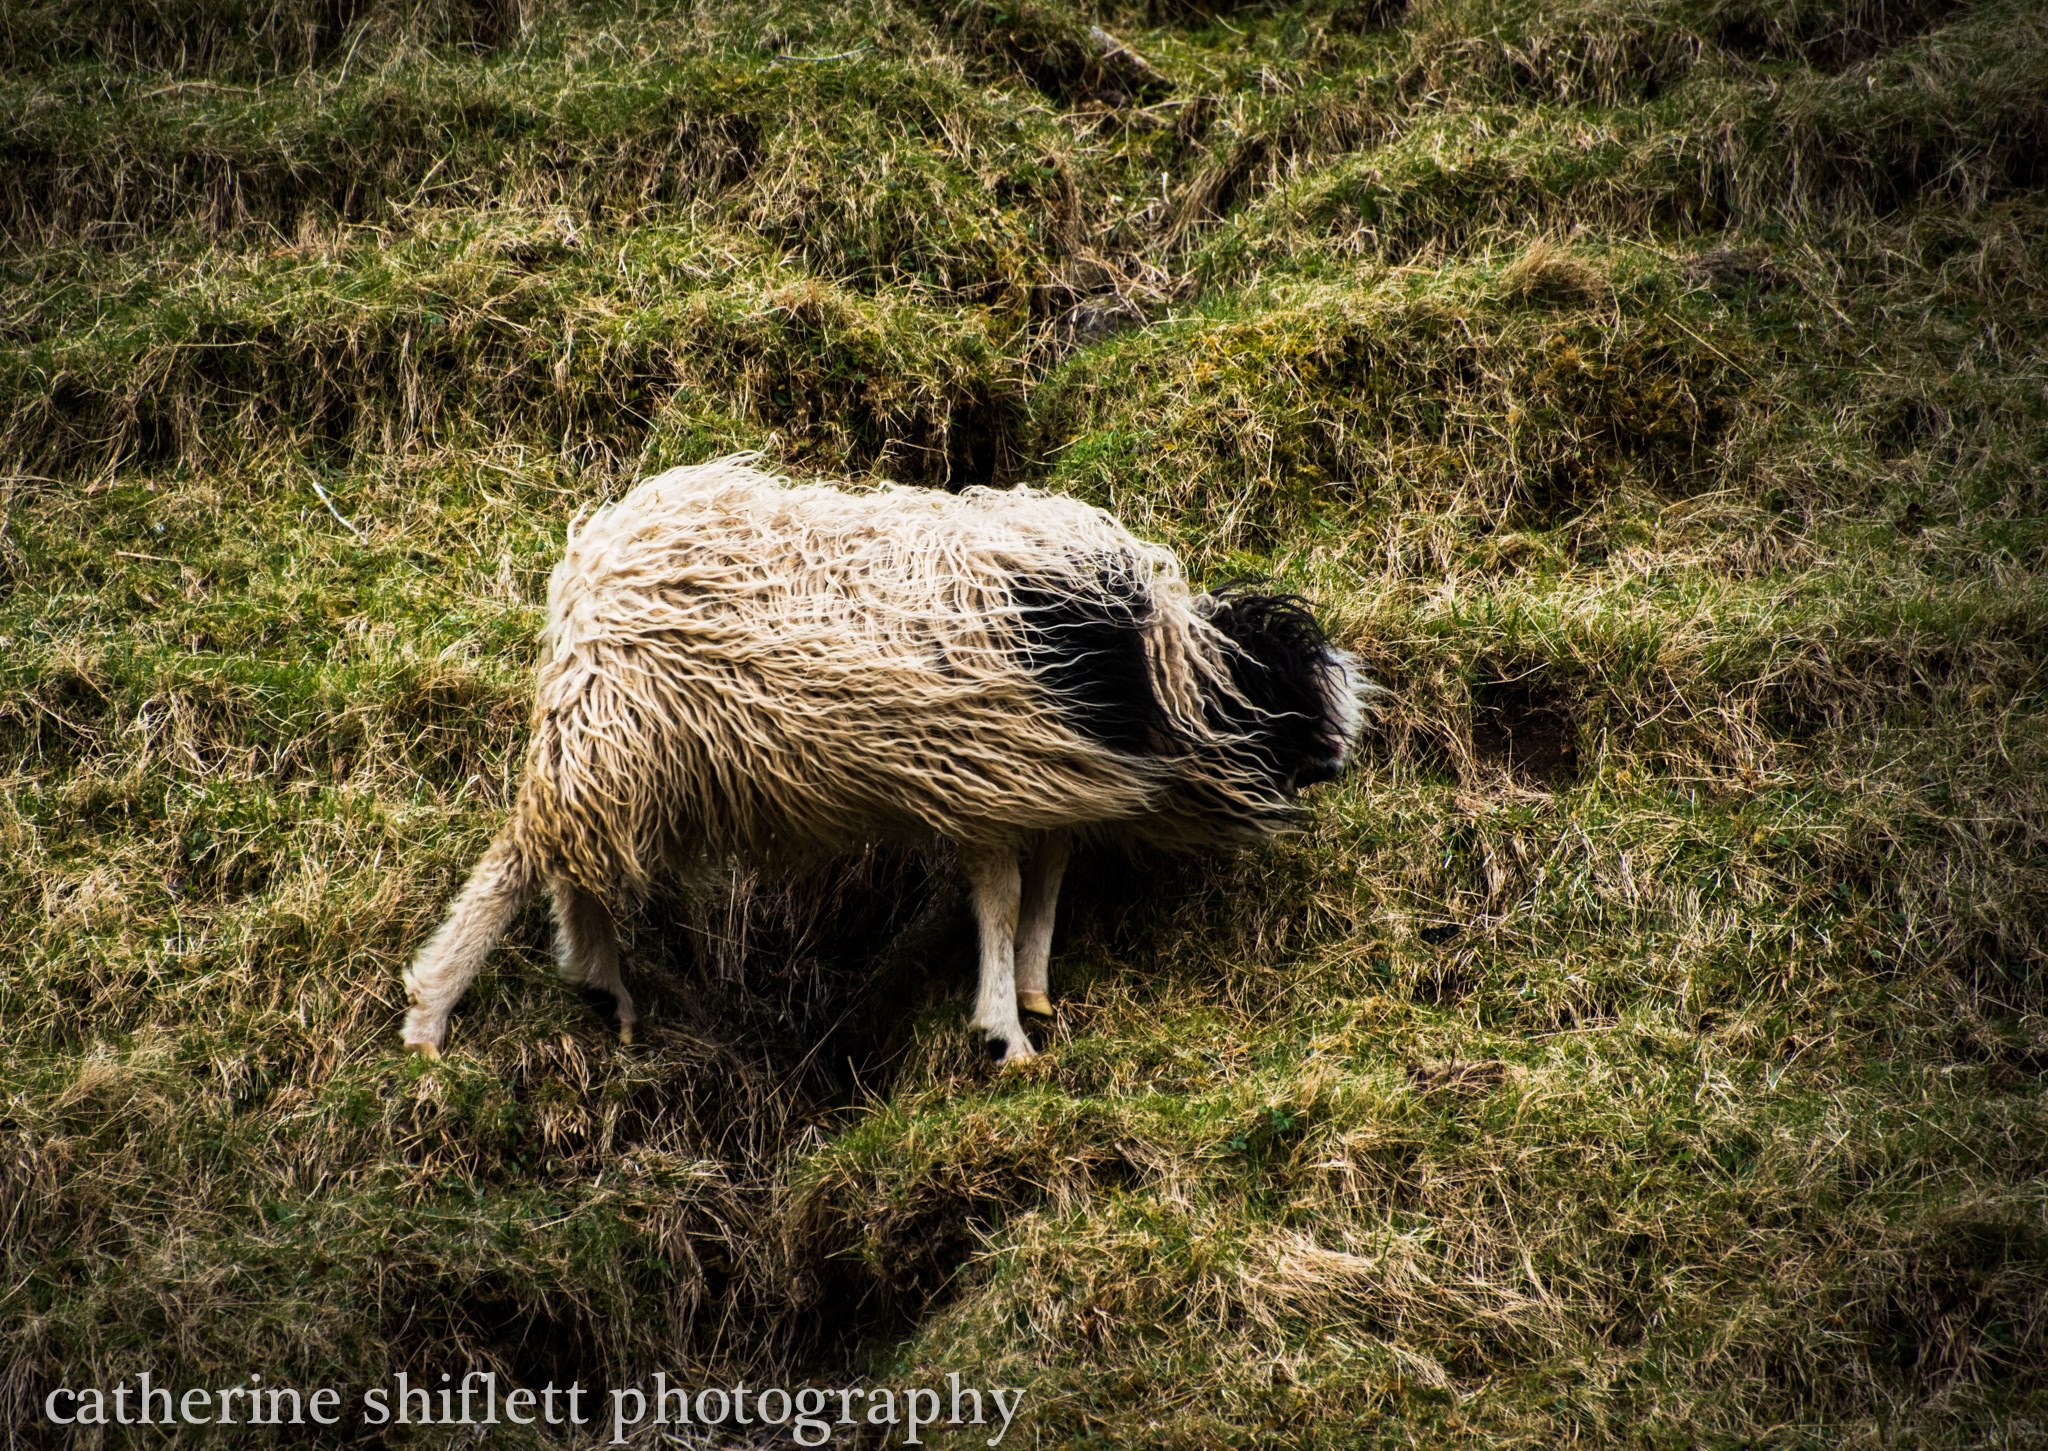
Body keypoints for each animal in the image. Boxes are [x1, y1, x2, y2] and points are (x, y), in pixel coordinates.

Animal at [399, 457, 1368, 1065]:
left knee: (574, 862)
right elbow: (1002, 899)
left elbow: (1048, 881)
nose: (1339, 763)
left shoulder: (1037, 781)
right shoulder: (990, 776)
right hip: (614, 726)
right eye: (1297, 697)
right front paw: (1004, 1033)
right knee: (521, 855)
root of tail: (590, 558)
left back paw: (600, 987)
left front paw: (1034, 990)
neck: (1162, 669)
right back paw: (437, 1010)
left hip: (630, 752)